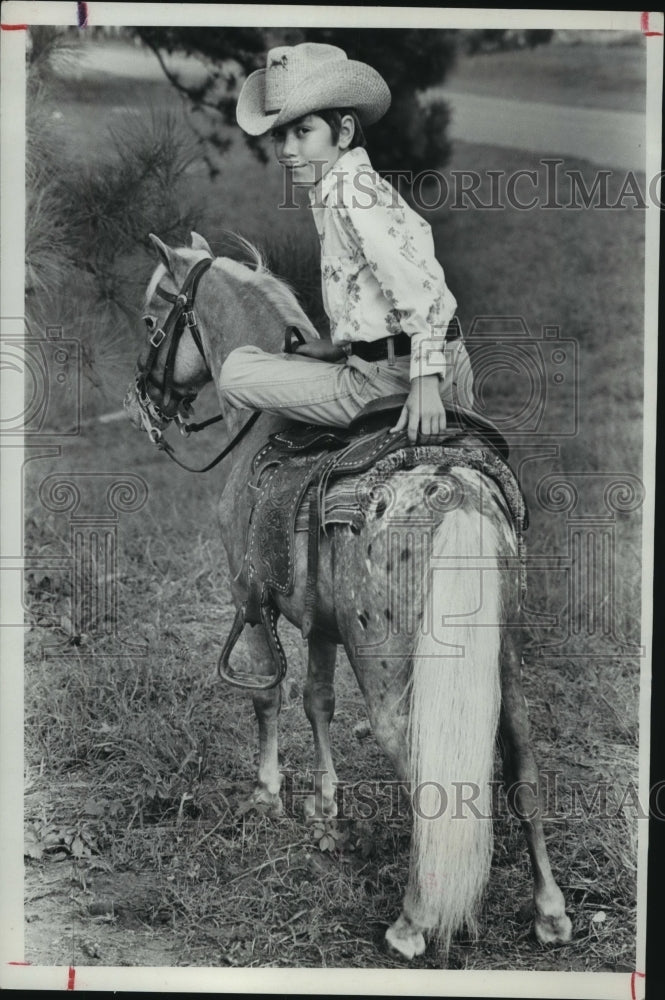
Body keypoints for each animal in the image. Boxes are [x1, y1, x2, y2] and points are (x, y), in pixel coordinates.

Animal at [124, 230, 572, 956]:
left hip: (388, 671)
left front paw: (269, 793)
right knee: (523, 765)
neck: (264, 429)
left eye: (150, 320)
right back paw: (549, 912)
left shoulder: (251, 601)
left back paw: (415, 922)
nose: (148, 398)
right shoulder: (321, 624)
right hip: (504, 659)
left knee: (422, 767)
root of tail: (451, 488)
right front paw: (325, 809)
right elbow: (317, 700)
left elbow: (270, 695)